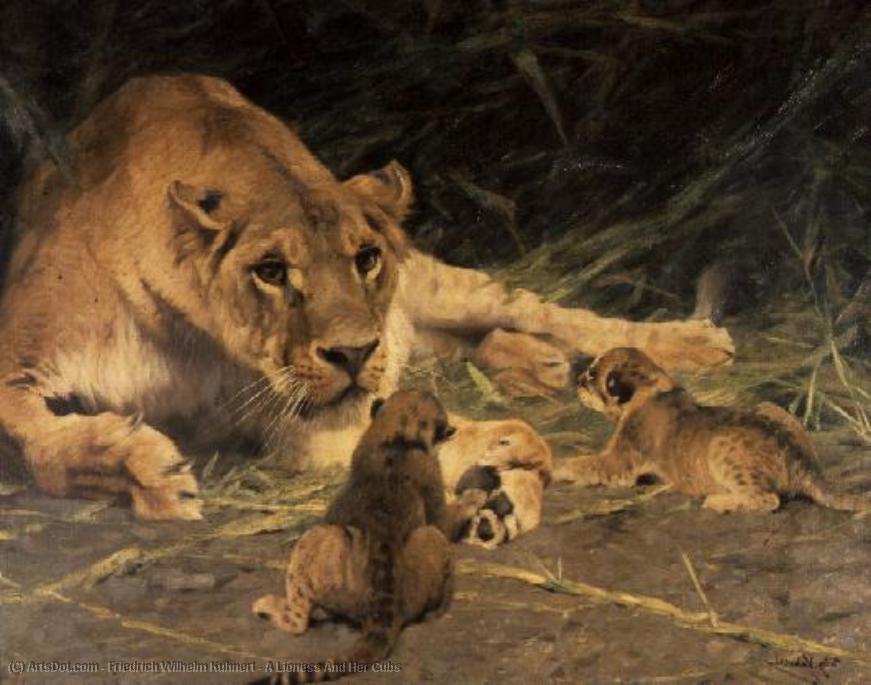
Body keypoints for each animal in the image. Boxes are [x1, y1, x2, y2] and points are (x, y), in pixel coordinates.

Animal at [0, 74, 733, 537]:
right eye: (271, 271)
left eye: (366, 258)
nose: (355, 352)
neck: (191, 333)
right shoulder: (23, 343)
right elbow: (30, 435)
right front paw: (146, 471)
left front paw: (507, 451)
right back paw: (534, 367)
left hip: (441, 285)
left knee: (546, 310)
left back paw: (694, 342)